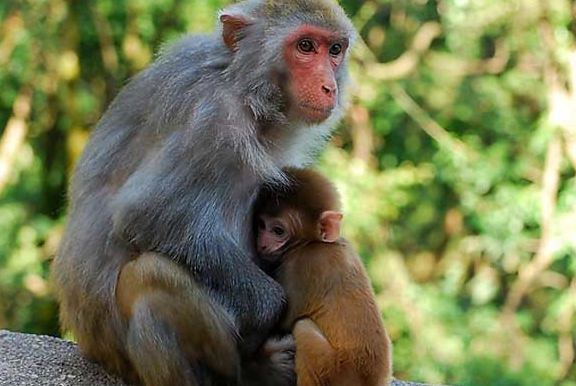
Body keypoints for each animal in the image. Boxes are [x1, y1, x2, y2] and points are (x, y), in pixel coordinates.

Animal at [51, 0, 356, 386]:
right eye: (305, 46)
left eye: (335, 50)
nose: (329, 86)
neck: (241, 84)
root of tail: (91, 347)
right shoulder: (212, 122)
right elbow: (145, 214)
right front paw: (269, 305)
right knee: (147, 278)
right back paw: (257, 368)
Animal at [255, 168, 392, 386]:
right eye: (261, 224)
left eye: (278, 231)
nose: (262, 243)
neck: (316, 243)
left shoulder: (303, 264)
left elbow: (286, 320)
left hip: (333, 368)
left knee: (302, 326)